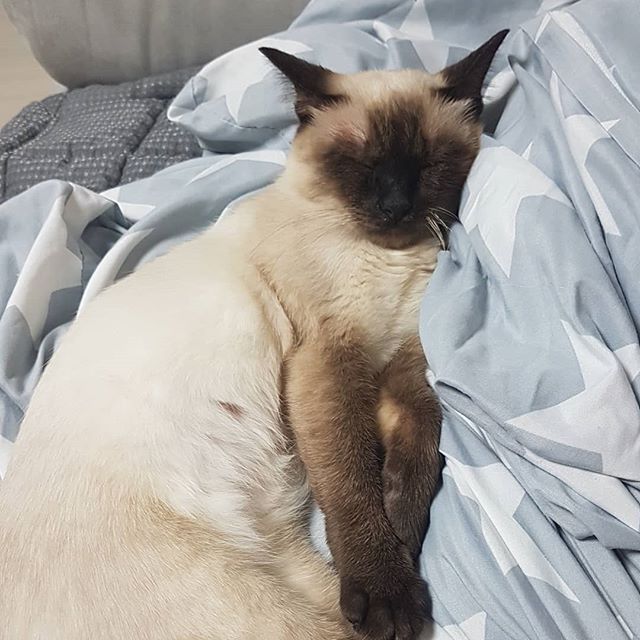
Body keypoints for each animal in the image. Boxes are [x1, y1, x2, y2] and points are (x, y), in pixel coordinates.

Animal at [0, 28, 510, 640]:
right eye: (358, 163)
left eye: (429, 163)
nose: (394, 206)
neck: (392, 260)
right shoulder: (328, 361)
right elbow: (351, 477)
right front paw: (392, 592)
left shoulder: (402, 362)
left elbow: (422, 441)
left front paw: (403, 525)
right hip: (255, 607)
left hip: (293, 568)